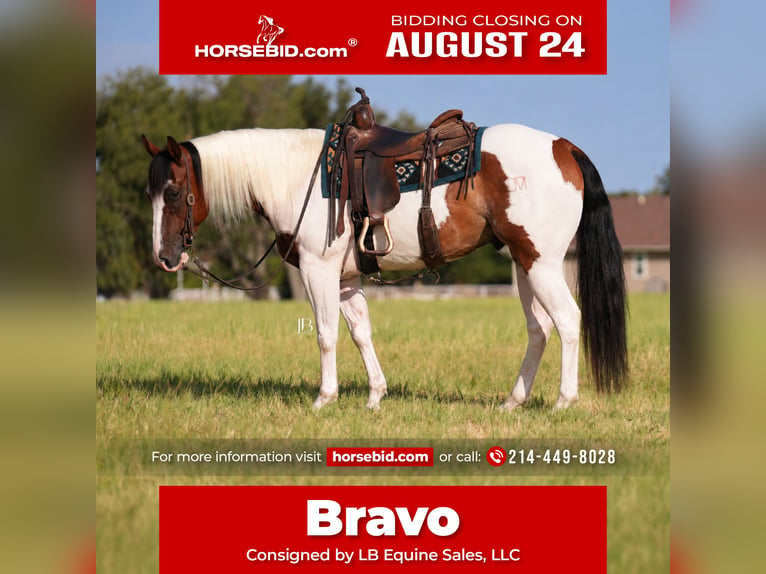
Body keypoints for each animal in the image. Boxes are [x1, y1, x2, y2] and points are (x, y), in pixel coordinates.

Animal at [141, 119, 627, 411]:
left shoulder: (318, 270)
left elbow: (326, 335)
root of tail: (564, 147)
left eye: (172, 191)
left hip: (541, 264)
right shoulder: (345, 279)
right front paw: (375, 396)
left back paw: (564, 400)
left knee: (567, 321)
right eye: (149, 193)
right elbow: (360, 333)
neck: (296, 177)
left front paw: (324, 398)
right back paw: (513, 401)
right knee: (539, 329)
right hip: (524, 265)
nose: (164, 258)